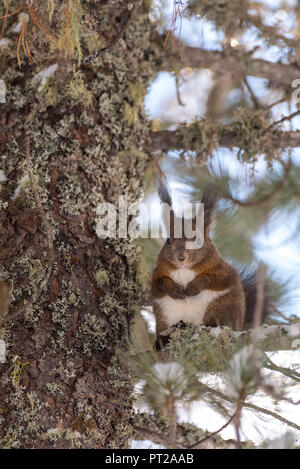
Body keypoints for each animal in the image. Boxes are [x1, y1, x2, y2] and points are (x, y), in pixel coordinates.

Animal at [151, 177, 270, 338]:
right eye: (168, 240)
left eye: (198, 240)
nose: (180, 257)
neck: (185, 269)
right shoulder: (157, 274)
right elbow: (159, 284)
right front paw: (175, 289)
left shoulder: (224, 271)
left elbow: (215, 278)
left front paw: (193, 287)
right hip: (164, 317)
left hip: (223, 306)